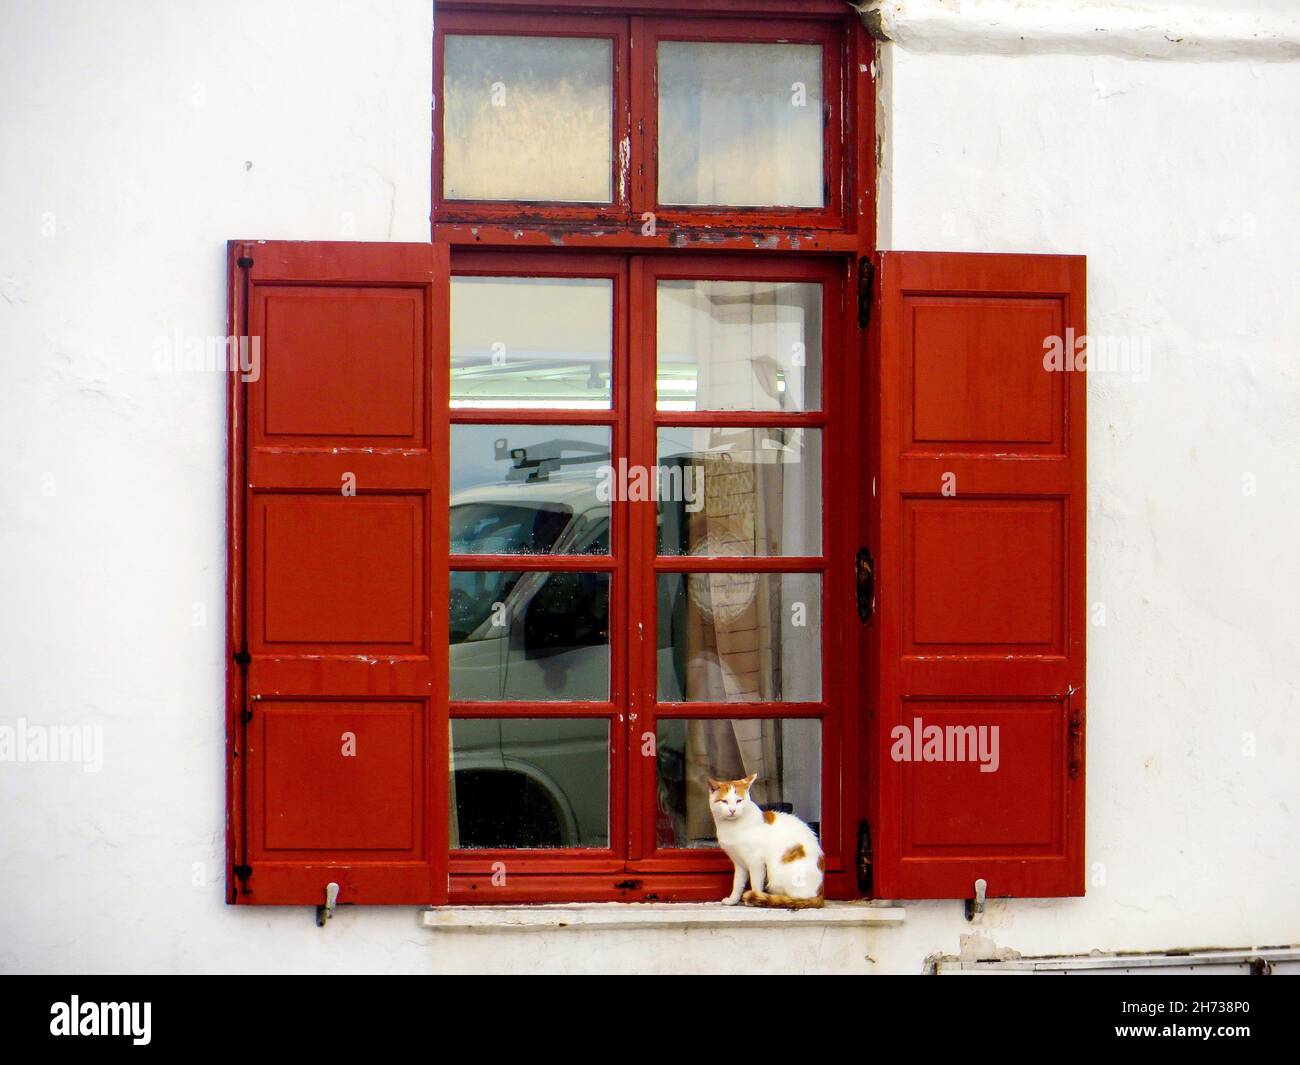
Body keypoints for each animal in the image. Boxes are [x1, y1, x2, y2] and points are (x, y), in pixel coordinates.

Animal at [712, 769, 821, 910]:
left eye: (739, 801)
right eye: (724, 801)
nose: (732, 810)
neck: (731, 827)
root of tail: (820, 895)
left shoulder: (756, 862)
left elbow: (755, 882)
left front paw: (754, 898)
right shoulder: (739, 862)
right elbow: (737, 883)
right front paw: (733, 900)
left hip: (777, 873)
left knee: (795, 899)